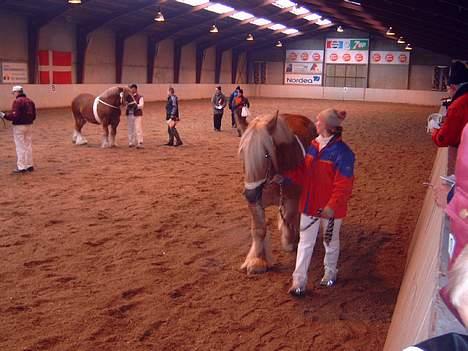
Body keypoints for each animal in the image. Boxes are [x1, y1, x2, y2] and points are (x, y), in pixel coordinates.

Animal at [238, 113, 318, 276]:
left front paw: (289, 241)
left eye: (266, 155)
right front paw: (257, 260)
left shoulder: (293, 197)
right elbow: (259, 230)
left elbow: (290, 217)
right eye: (243, 153)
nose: (250, 194)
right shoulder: (256, 202)